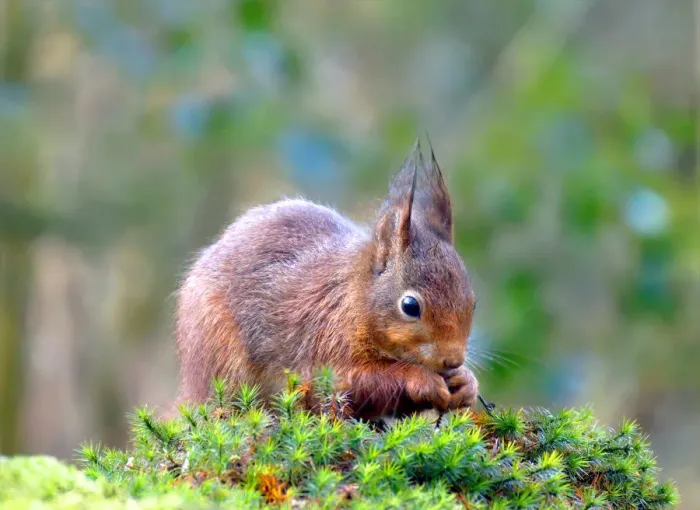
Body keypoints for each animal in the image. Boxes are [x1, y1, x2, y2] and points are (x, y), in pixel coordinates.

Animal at [175, 140, 478, 421]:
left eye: (473, 303)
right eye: (410, 306)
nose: (453, 359)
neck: (355, 299)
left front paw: (466, 382)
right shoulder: (326, 344)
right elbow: (357, 381)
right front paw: (422, 379)